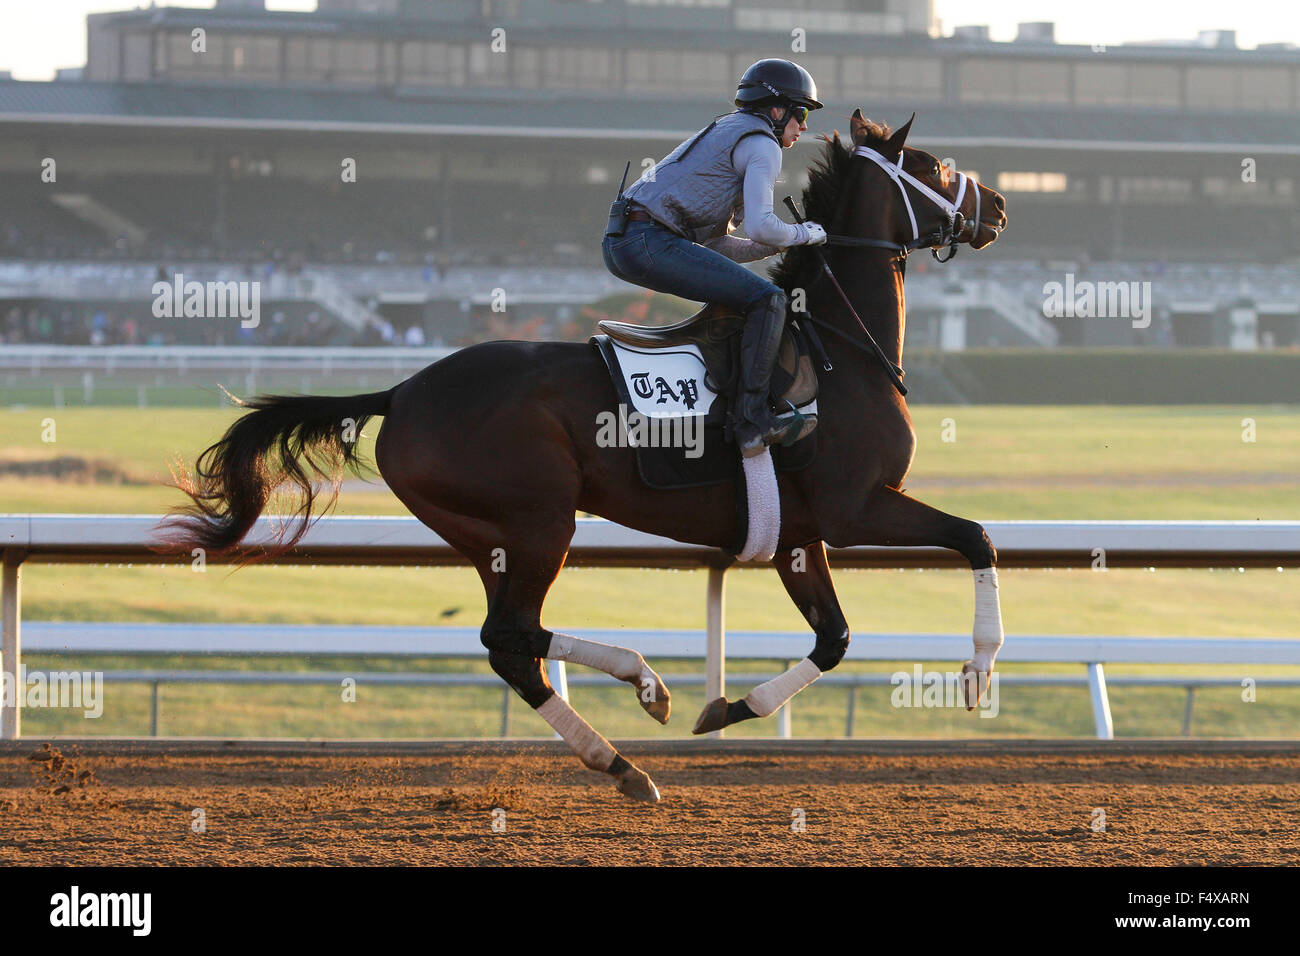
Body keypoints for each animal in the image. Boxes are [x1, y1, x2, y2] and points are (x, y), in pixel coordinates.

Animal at [162, 108, 1008, 806]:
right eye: (934, 167)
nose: (998, 206)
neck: (837, 350)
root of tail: (402, 392)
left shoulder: (796, 536)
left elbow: (833, 639)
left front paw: (731, 705)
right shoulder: (854, 508)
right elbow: (975, 538)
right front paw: (976, 673)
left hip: (488, 534)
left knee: (509, 644)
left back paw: (627, 744)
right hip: (538, 519)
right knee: (511, 634)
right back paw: (636, 703)